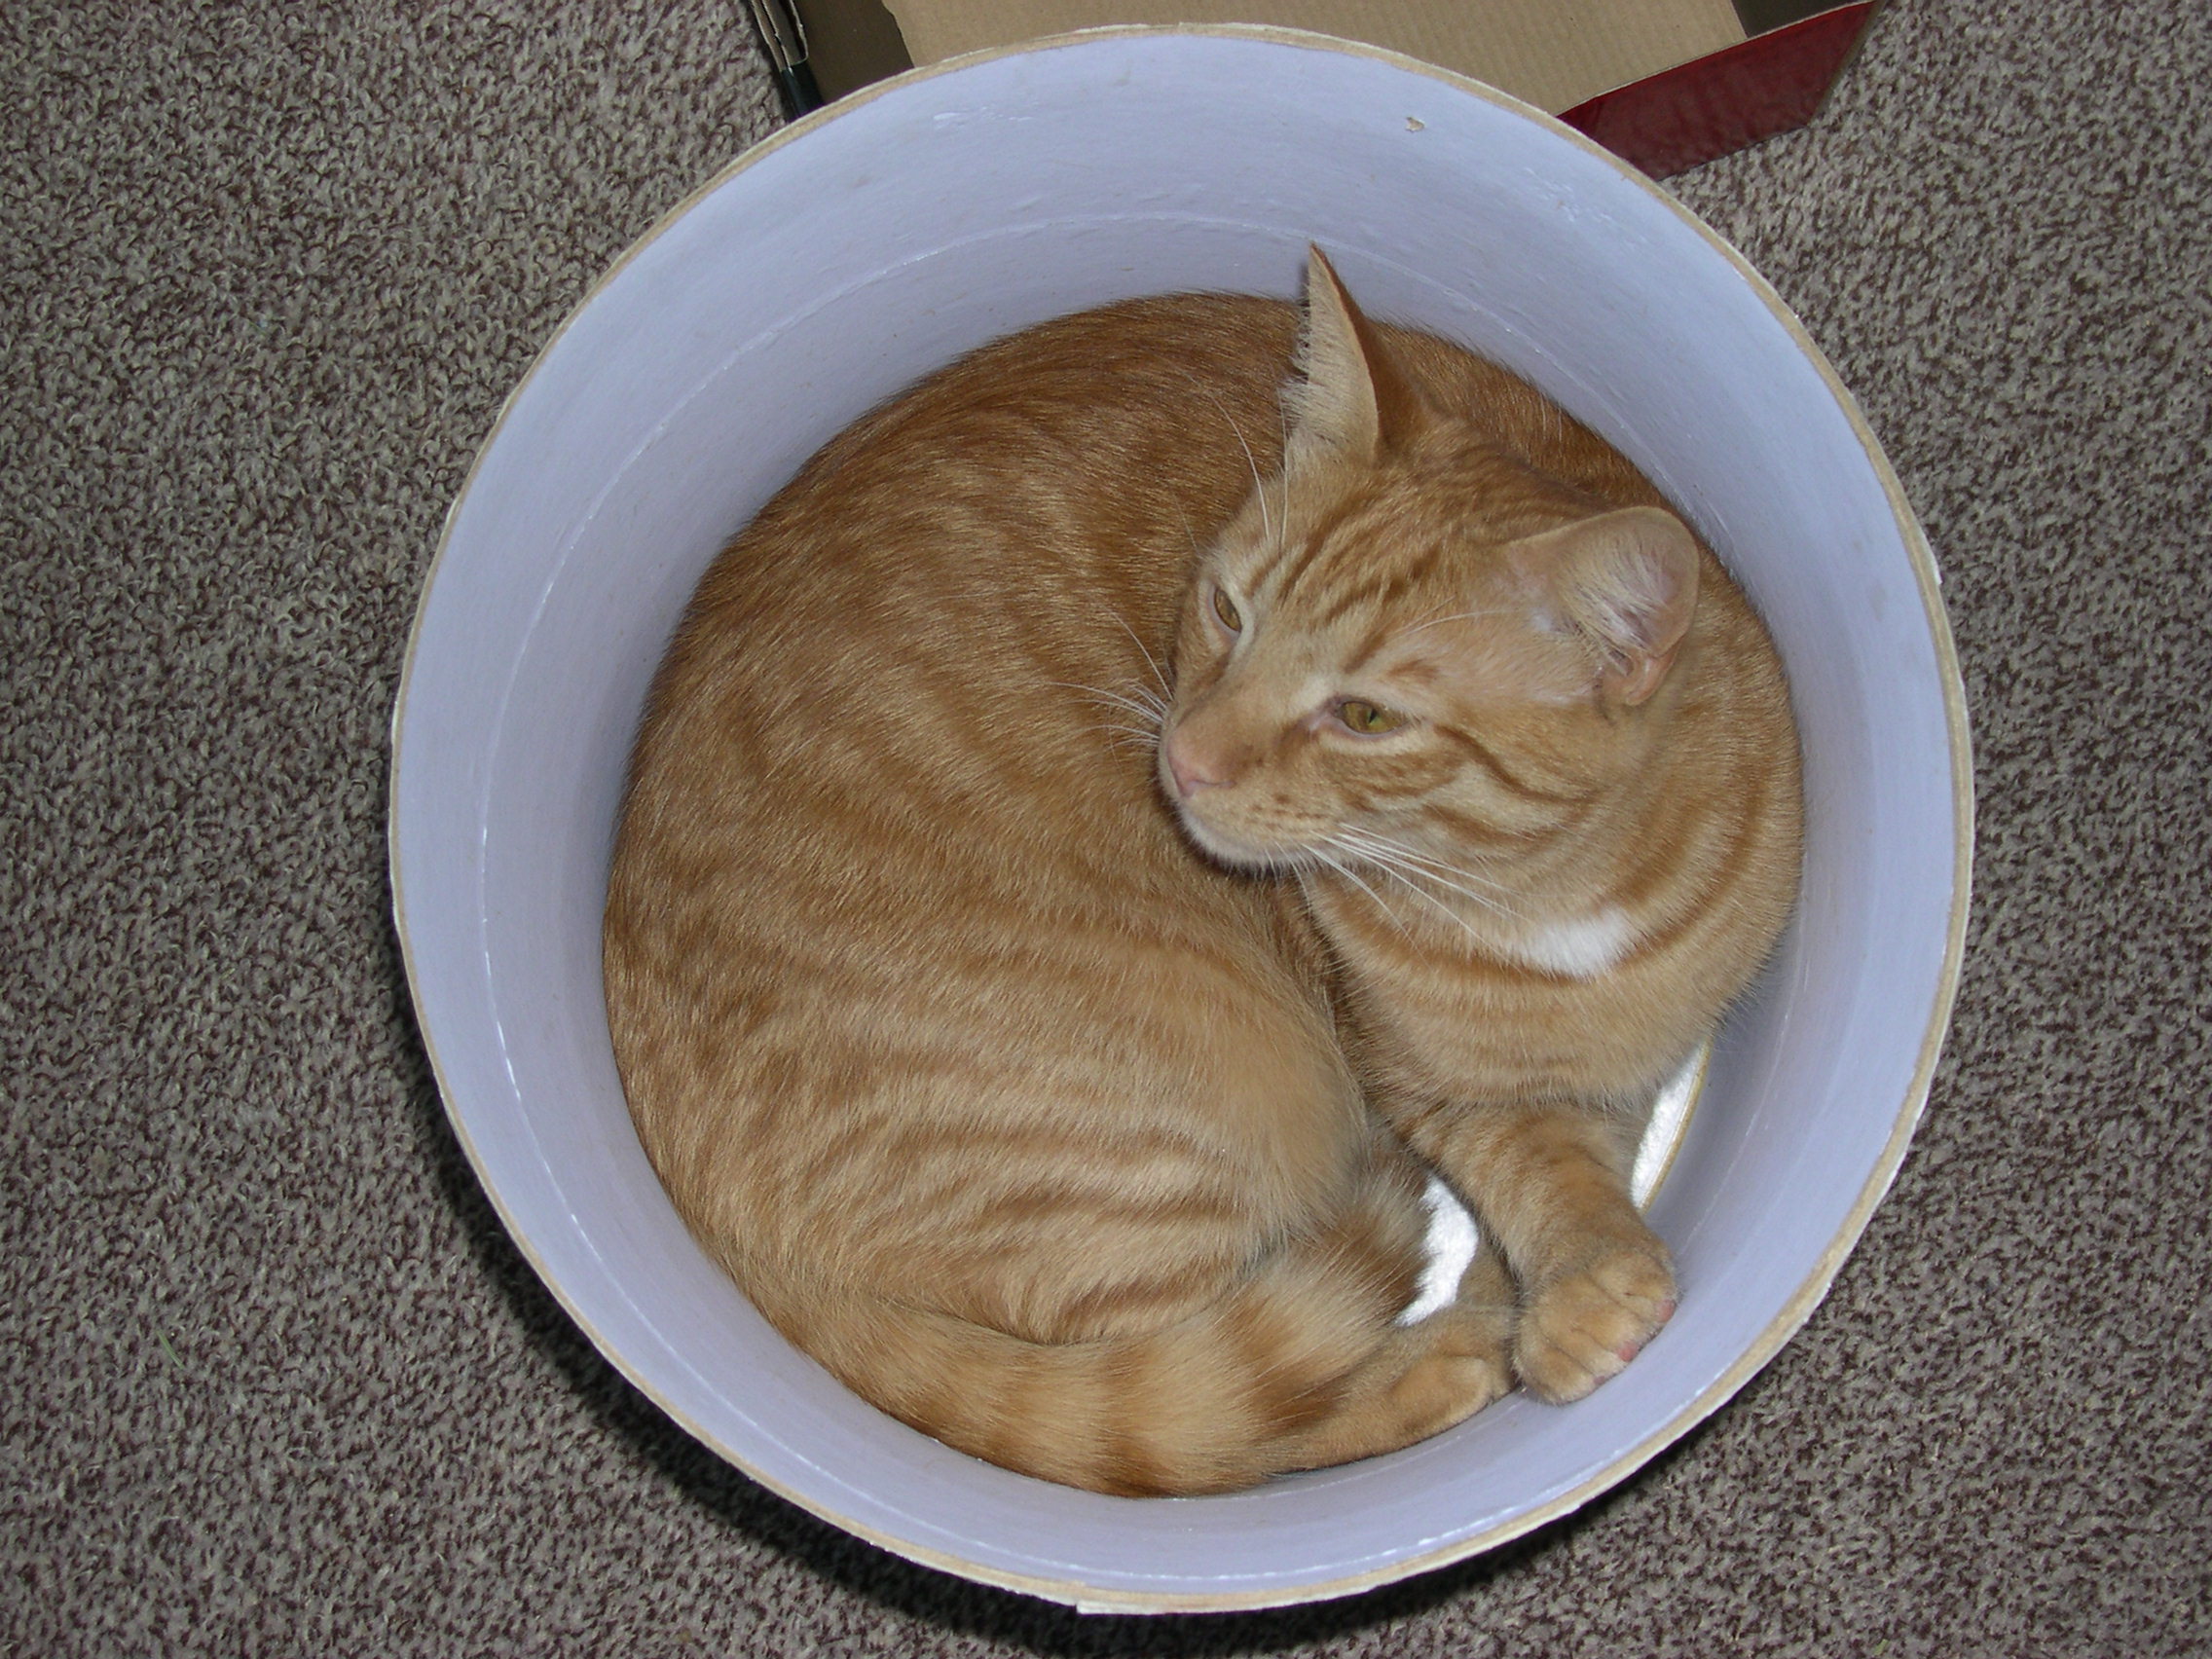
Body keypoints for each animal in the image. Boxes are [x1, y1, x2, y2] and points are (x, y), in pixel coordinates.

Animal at [601, 249, 1795, 1503]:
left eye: (1366, 718)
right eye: (1227, 610)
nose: (1182, 758)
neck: (1536, 900)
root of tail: (705, 1214)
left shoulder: (1631, 1056)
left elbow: (1579, 1145)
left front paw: (1558, 1273)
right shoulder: (1414, 1080)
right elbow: (1528, 1159)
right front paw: (1555, 1298)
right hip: (1164, 1153)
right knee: (1207, 1431)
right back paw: (1442, 1357)